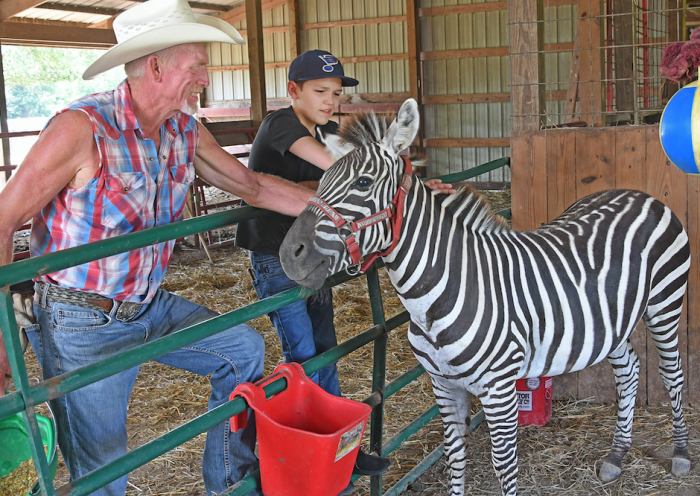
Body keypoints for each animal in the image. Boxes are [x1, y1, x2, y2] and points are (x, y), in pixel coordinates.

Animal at [278, 99, 692, 496]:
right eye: (319, 181)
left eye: (364, 182)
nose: (288, 255)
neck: (436, 298)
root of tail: (637, 193)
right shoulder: (443, 385)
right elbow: (454, 456)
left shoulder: (499, 389)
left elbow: (504, 464)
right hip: (610, 320)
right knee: (628, 371)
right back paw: (617, 455)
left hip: (664, 303)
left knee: (672, 372)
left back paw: (681, 454)